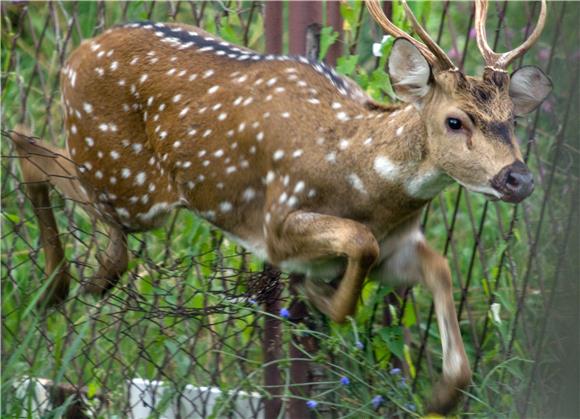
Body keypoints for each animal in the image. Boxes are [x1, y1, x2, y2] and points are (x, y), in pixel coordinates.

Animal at [10, 0, 552, 414]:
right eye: (455, 121)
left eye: (511, 121)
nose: (518, 178)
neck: (361, 172)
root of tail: (76, 54)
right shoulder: (277, 221)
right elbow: (359, 245)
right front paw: (316, 291)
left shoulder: (401, 243)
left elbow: (437, 268)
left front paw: (440, 398)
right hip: (126, 179)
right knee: (29, 145)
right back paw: (69, 284)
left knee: (29, 145)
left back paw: (65, 286)